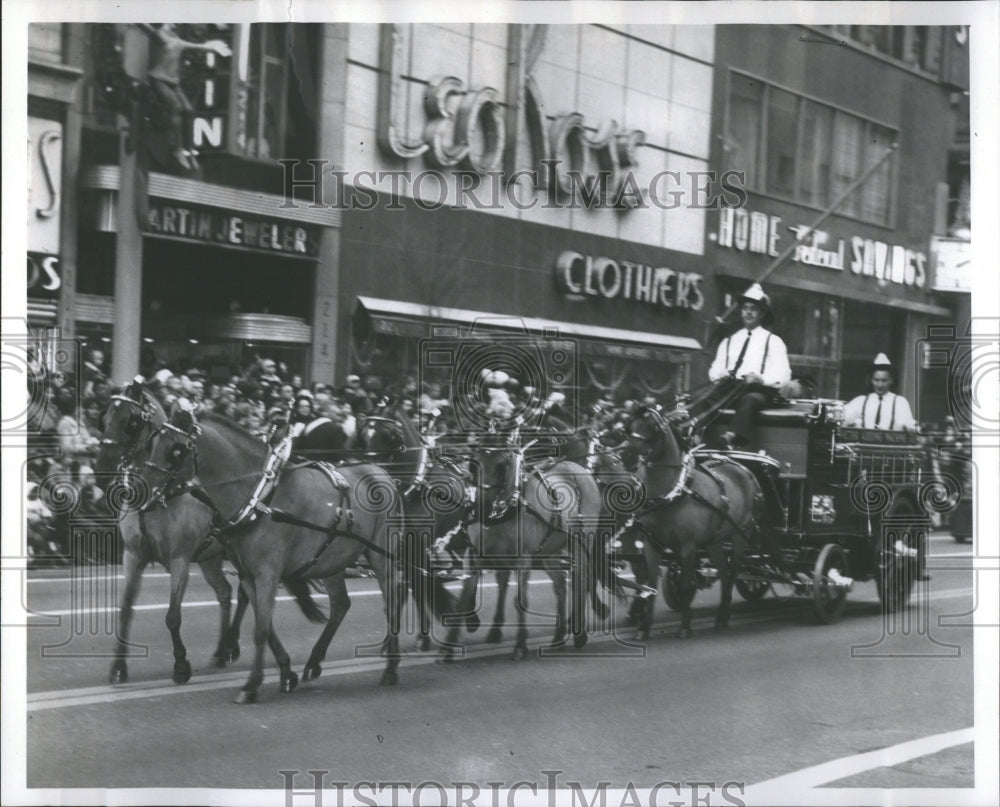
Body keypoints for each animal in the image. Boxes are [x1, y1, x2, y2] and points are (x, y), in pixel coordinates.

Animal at [146, 408, 404, 704]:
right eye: (153, 442)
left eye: (176, 450)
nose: (145, 492)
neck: (259, 498)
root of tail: (380, 472)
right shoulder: (248, 574)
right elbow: (265, 624)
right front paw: (286, 673)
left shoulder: (267, 572)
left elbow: (260, 629)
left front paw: (251, 685)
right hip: (332, 561)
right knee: (340, 604)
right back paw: (314, 663)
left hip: (381, 555)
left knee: (391, 602)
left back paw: (391, 668)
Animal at [444, 426, 604, 660]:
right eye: (475, 462)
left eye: (502, 465)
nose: (481, 507)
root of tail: (577, 468)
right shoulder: (474, 555)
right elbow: (465, 599)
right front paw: (448, 647)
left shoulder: (523, 559)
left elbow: (520, 601)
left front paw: (520, 645)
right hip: (550, 549)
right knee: (560, 585)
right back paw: (558, 636)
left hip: (581, 542)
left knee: (580, 580)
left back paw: (579, 634)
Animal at [620, 404, 760, 636]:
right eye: (630, 426)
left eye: (652, 428)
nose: (627, 455)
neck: (670, 494)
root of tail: (743, 468)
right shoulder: (651, 545)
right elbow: (650, 584)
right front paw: (645, 627)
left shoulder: (687, 546)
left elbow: (686, 584)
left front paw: (685, 626)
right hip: (715, 541)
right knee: (724, 571)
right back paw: (721, 614)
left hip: (741, 535)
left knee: (733, 572)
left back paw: (723, 615)